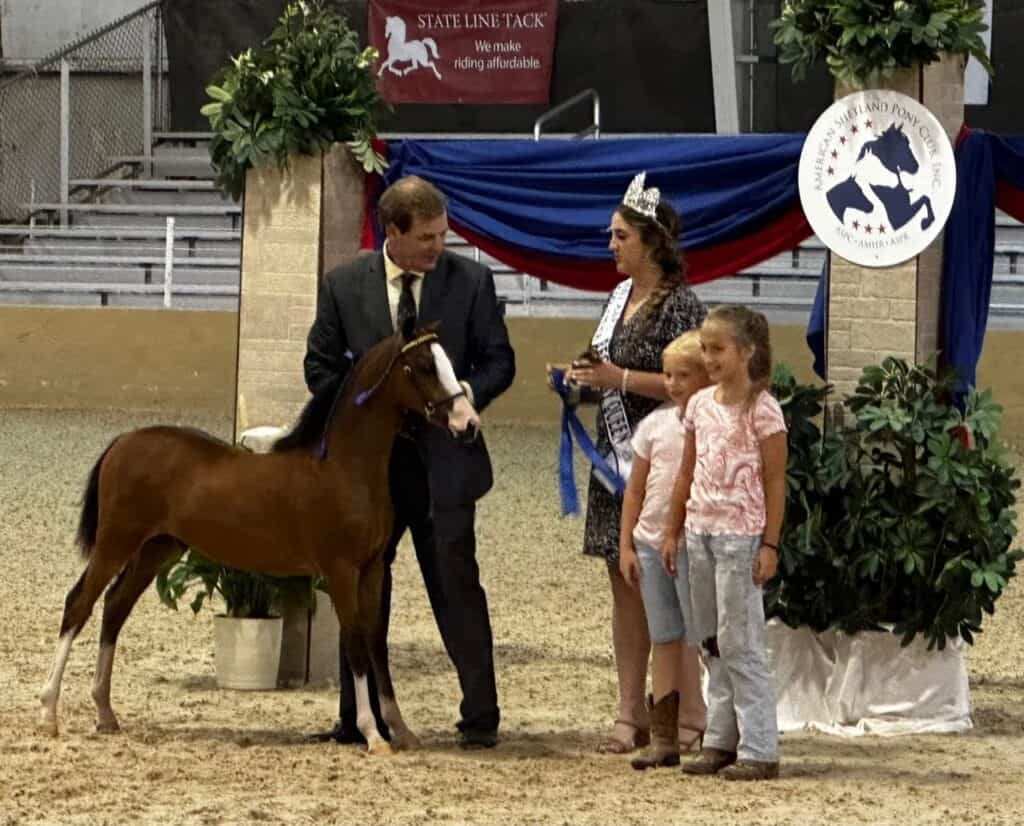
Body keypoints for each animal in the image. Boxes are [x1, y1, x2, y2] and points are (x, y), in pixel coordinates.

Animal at [39, 321, 478, 756]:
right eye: (423, 366)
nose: (468, 422)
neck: (342, 469)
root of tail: (123, 442)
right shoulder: (340, 572)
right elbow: (354, 643)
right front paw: (372, 735)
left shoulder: (372, 569)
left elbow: (375, 644)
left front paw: (400, 730)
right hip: (116, 543)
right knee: (78, 604)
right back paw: (48, 714)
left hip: (156, 549)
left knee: (115, 606)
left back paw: (105, 714)